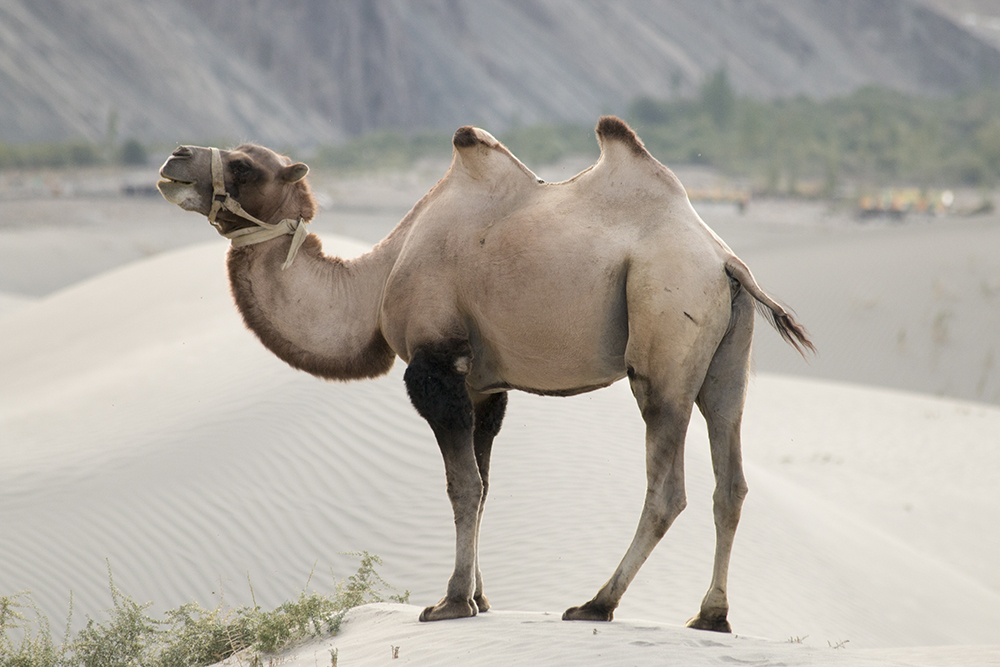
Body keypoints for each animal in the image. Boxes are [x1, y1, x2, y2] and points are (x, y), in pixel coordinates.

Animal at [156, 117, 812, 636]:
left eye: (244, 165)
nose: (174, 158)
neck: (377, 279)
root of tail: (725, 261)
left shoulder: (435, 365)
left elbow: (462, 485)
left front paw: (450, 602)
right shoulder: (485, 385)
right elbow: (486, 481)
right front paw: (479, 596)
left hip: (663, 336)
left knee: (667, 486)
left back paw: (597, 604)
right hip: (726, 362)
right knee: (730, 480)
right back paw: (711, 615)